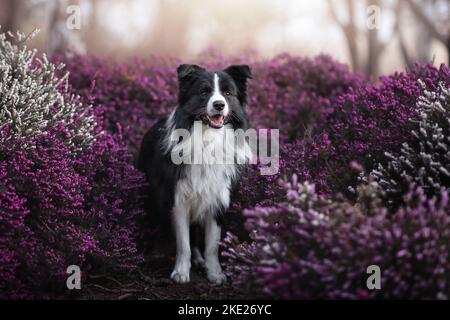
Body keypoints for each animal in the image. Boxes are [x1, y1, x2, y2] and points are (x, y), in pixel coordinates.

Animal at [139, 63, 253, 284]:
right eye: (204, 92)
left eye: (228, 93)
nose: (219, 105)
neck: (208, 139)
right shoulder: (178, 200)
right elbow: (183, 244)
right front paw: (181, 273)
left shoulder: (218, 200)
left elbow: (211, 245)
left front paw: (215, 273)